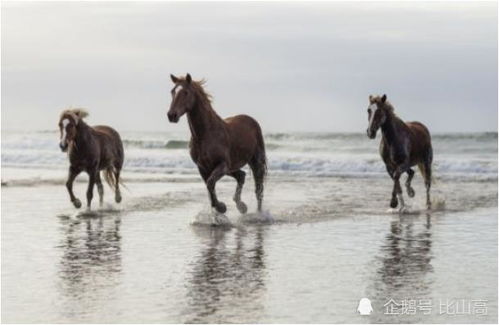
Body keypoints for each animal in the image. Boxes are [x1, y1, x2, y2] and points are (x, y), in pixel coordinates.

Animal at [167, 73, 270, 213]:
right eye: (172, 91)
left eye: (186, 92)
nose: (171, 115)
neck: (205, 134)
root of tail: (251, 120)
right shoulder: (203, 168)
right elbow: (209, 187)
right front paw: (219, 209)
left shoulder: (223, 165)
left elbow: (210, 183)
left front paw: (221, 207)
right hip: (231, 167)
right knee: (241, 175)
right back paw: (241, 206)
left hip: (255, 162)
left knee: (258, 189)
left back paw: (257, 212)